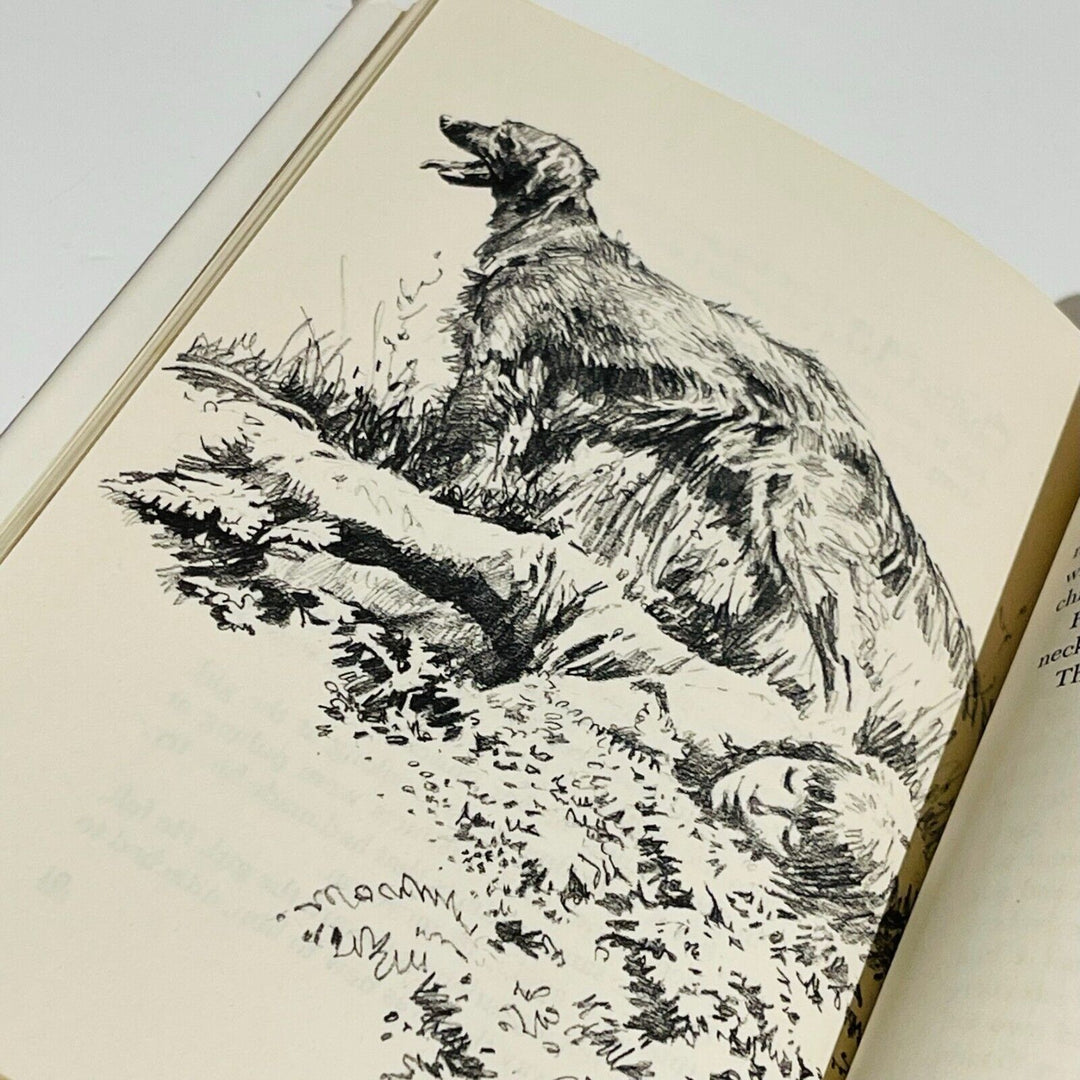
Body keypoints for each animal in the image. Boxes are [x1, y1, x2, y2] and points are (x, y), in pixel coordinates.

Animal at [419, 116, 974, 799]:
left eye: (502, 136)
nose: (448, 119)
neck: (551, 242)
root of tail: (863, 446)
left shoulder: (496, 372)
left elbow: (458, 449)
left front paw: (425, 485)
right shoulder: (552, 415)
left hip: (807, 553)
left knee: (848, 676)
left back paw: (817, 736)